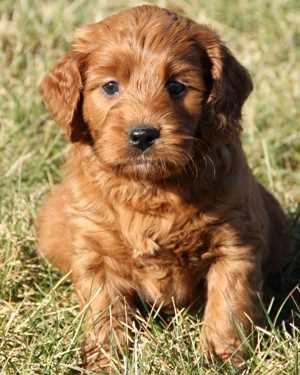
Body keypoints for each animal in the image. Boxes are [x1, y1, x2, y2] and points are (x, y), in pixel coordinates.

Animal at [35, 5, 290, 370]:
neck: (150, 190)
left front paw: (219, 359)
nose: (143, 135)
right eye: (110, 86)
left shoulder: (234, 245)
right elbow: (104, 311)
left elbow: (227, 306)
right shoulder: (95, 251)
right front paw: (105, 360)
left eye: (177, 86)